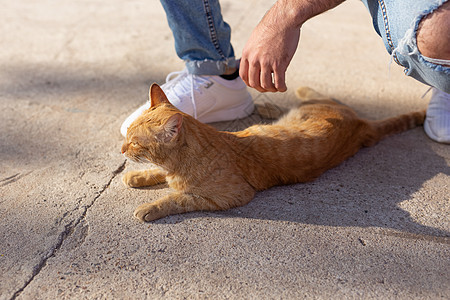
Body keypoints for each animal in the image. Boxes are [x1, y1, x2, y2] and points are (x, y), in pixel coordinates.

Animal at [122, 83, 426, 221]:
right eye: (127, 136)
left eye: (135, 142)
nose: (123, 148)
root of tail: (363, 126)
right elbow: (158, 173)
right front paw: (137, 176)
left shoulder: (233, 196)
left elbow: (179, 198)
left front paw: (151, 207)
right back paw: (268, 108)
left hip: (322, 107)